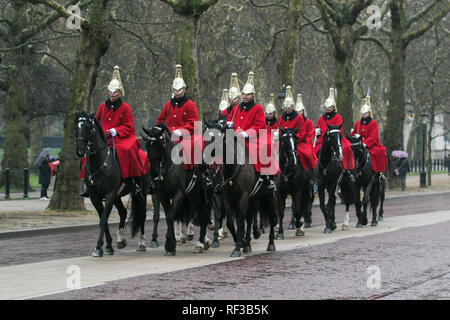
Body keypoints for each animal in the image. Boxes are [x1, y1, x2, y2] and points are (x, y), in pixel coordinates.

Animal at [75, 111, 148, 256]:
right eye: (76, 127)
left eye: (87, 127)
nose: (80, 151)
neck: (100, 162)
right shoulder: (95, 197)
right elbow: (103, 219)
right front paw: (108, 246)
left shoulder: (109, 194)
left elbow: (103, 220)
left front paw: (98, 247)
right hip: (117, 196)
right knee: (123, 212)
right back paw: (121, 240)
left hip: (141, 193)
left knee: (142, 214)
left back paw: (142, 243)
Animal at [144, 122, 214, 255]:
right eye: (147, 146)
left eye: (160, 145)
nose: (153, 173)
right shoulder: (162, 194)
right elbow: (168, 215)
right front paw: (171, 243)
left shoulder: (179, 194)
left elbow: (171, 215)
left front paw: (170, 244)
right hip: (194, 194)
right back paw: (204, 241)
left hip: (207, 193)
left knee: (204, 214)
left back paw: (200, 243)